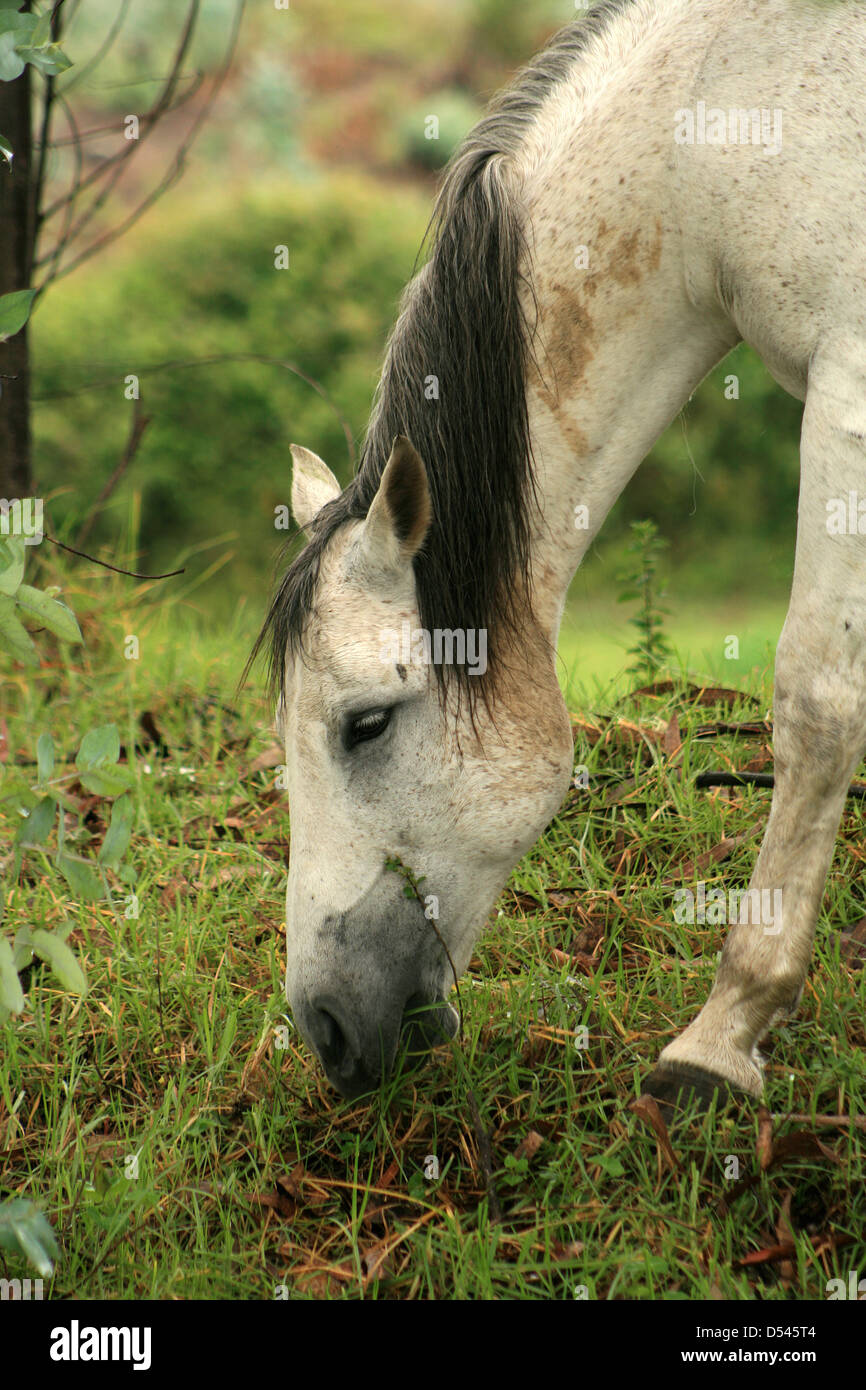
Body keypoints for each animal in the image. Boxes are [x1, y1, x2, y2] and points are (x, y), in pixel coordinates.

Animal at [255, 2, 866, 1106]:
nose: (322, 1029)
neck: (711, 124)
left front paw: (721, 1039)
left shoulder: (852, 387)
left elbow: (816, 705)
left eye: (365, 724)